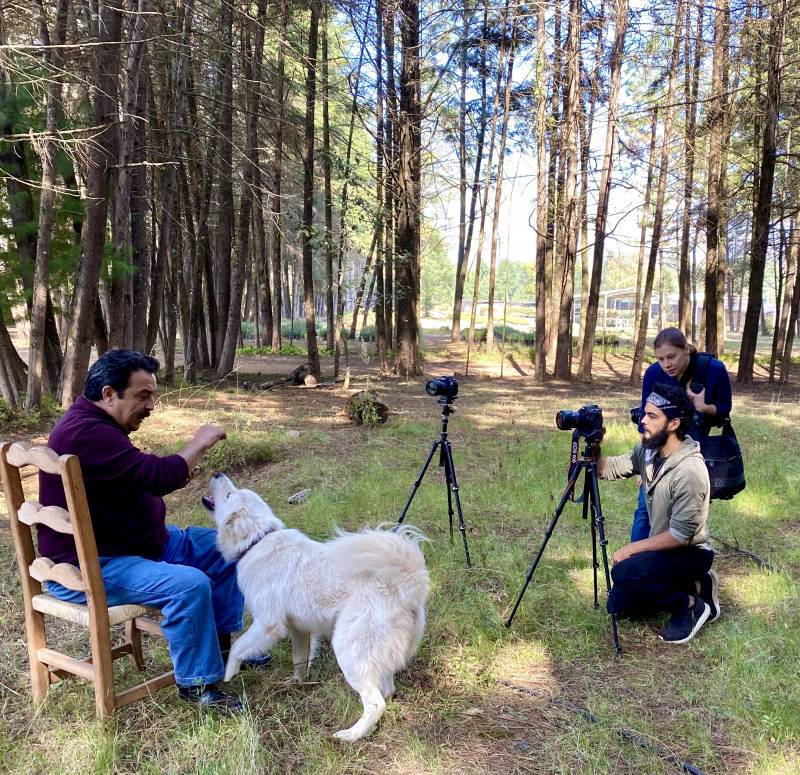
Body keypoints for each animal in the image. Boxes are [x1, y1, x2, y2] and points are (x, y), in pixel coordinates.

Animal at [206, 472, 432, 740]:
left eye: (229, 494)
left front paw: (228, 672)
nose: (217, 474)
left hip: (349, 651)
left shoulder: (267, 624)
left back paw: (351, 735)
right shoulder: (300, 630)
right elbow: (299, 660)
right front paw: (297, 683)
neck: (257, 540)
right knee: (386, 689)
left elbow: (238, 645)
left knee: (376, 703)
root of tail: (407, 585)